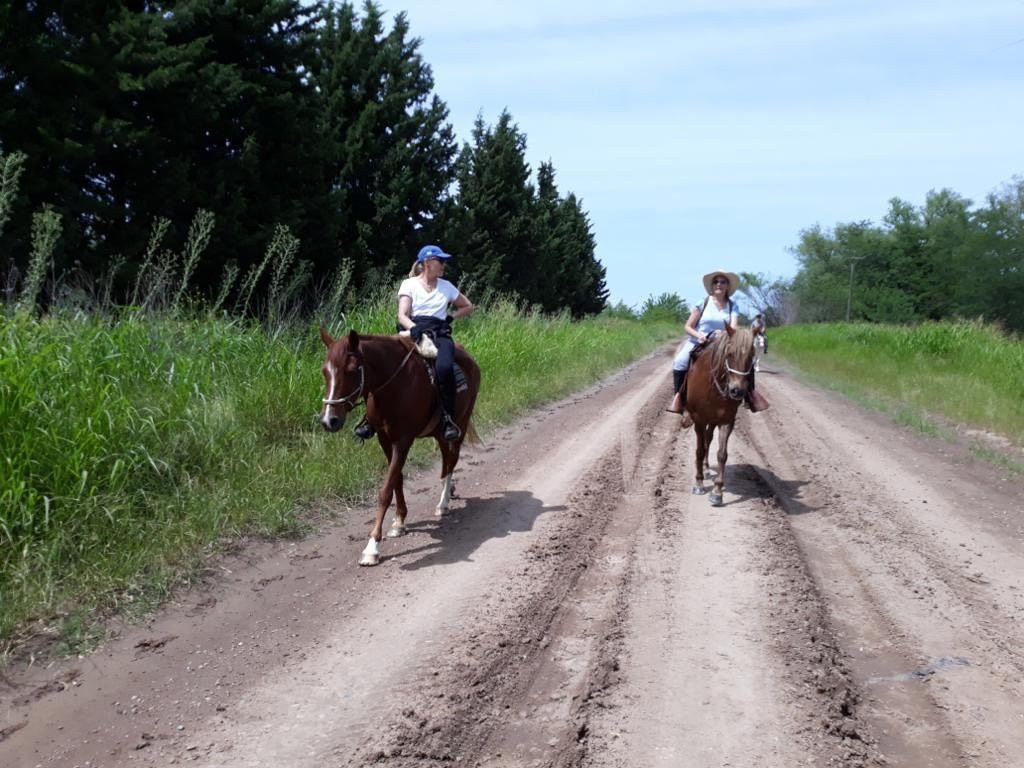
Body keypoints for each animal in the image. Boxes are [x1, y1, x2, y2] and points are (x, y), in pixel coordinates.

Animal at [319, 327, 479, 569]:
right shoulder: (385, 439)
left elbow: (386, 490)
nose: (329, 421)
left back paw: (443, 503)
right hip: (439, 433)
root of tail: (470, 359)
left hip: (460, 423)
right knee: (445, 461)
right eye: (325, 372)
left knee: (452, 460)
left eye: (352, 370)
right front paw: (399, 522)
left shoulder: (403, 440)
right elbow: (397, 480)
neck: (393, 386)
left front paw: (372, 548)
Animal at [684, 327, 757, 507]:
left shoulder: (726, 421)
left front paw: (717, 492)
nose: (737, 391)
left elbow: (722, 455)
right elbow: (699, 450)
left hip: (713, 421)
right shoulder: (699, 420)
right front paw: (699, 484)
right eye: (729, 354)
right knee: (704, 443)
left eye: (751, 355)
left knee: (708, 439)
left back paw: (706, 468)